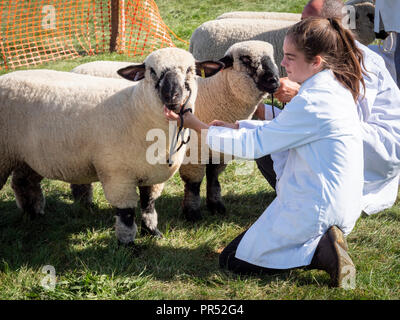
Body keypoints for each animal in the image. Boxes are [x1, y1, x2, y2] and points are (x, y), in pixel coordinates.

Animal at [0, 47, 216, 245]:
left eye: (190, 70)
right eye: (152, 71)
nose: (172, 95)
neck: (136, 108)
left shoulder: (152, 175)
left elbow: (148, 205)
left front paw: (152, 232)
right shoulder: (117, 174)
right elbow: (126, 214)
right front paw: (128, 245)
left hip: (28, 156)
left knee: (22, 182)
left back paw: (33, 214)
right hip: (6, 155)